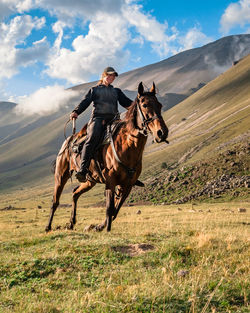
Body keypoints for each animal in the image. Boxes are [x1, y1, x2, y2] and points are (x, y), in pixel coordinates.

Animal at [45, 82, 169, 232]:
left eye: (160, 105)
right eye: (145, 105)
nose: (162, 132)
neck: (127, 146)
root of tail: (69, 140)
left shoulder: (127, 185)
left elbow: (116, 209)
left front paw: (100, 226)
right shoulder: (111, 181)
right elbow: (109, 208)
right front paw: (107, 229)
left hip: (89, 180)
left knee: (75, 193)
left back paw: (71, 223)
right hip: (61, 175)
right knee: (55, 201)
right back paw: (48, 226)